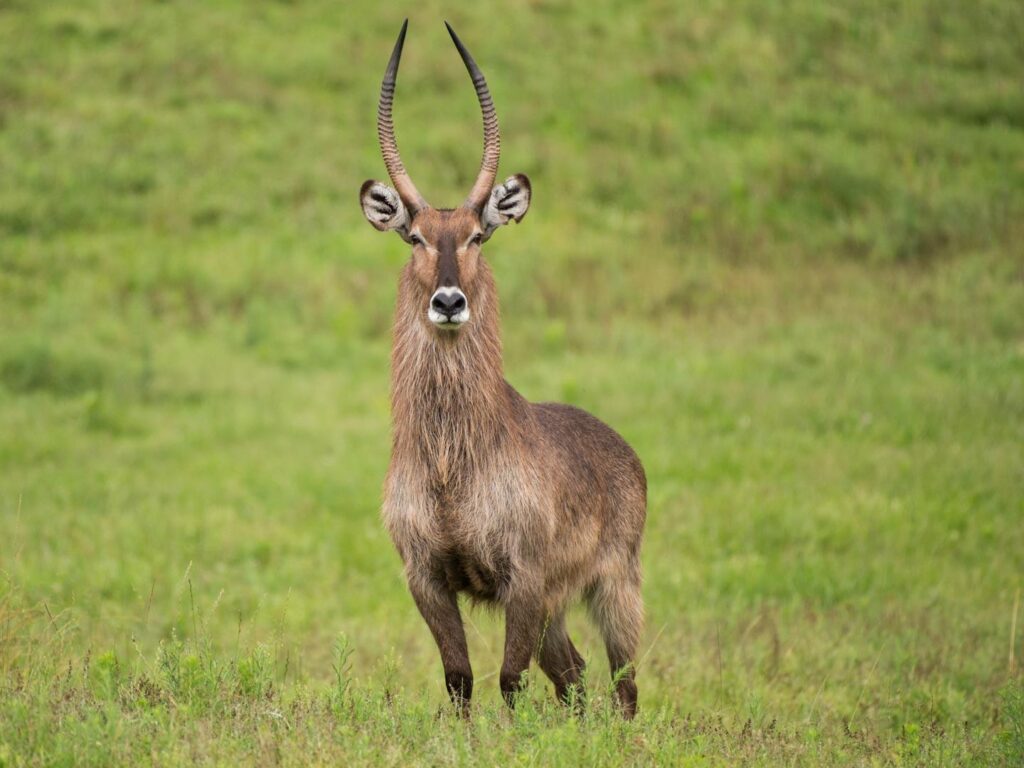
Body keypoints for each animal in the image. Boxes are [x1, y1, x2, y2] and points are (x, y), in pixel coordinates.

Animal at [360, 24, 643, 720]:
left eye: (477, 237)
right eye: (415, 238)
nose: (449, 301)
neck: (450, 467)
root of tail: (624, 448)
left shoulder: (526, 579)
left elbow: (509, 682)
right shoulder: (426, 577)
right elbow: (460, 678)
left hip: (615, 587)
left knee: (625, 682)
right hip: (559, 610)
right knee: (574, 675)